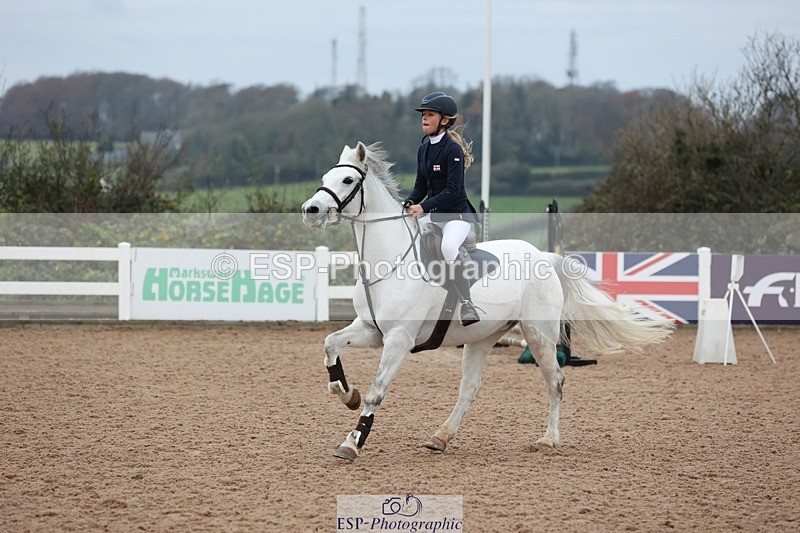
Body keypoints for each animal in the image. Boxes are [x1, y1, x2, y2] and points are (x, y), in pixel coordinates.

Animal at [301, 141, 672, 462]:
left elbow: (377, 389)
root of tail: (545, 256)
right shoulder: (370, 329)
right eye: (325, 177)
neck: (389, 259)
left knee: (555, 381)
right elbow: (330, 344)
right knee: (470, 389)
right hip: (481, 338)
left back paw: (548, 439)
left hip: (538, 335)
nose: (310, 210)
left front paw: (352, 442)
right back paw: (440, 437)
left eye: (348, 180)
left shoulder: (399, 339)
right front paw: (345, 393)